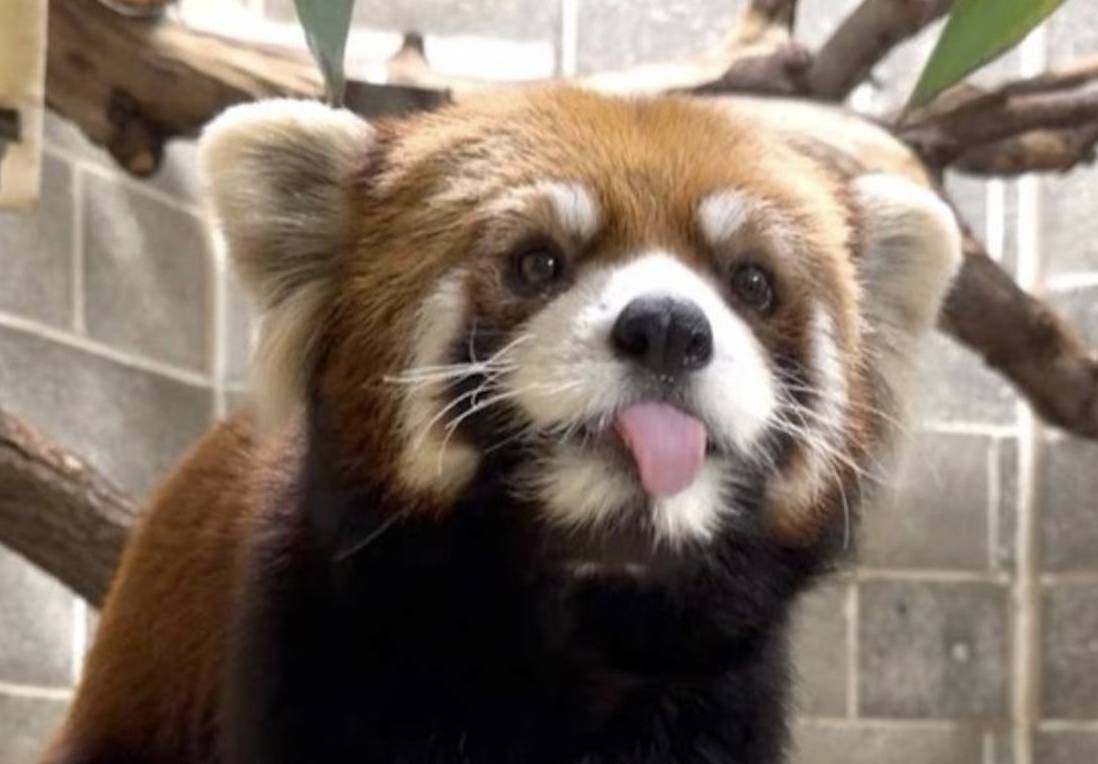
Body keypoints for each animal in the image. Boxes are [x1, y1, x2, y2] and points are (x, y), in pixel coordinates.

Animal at [43, 86, 961, 764]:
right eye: (537, 263)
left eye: (752, 282)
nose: (668, 328)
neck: (577, 620)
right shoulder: (310, 644)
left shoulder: (721, 696)